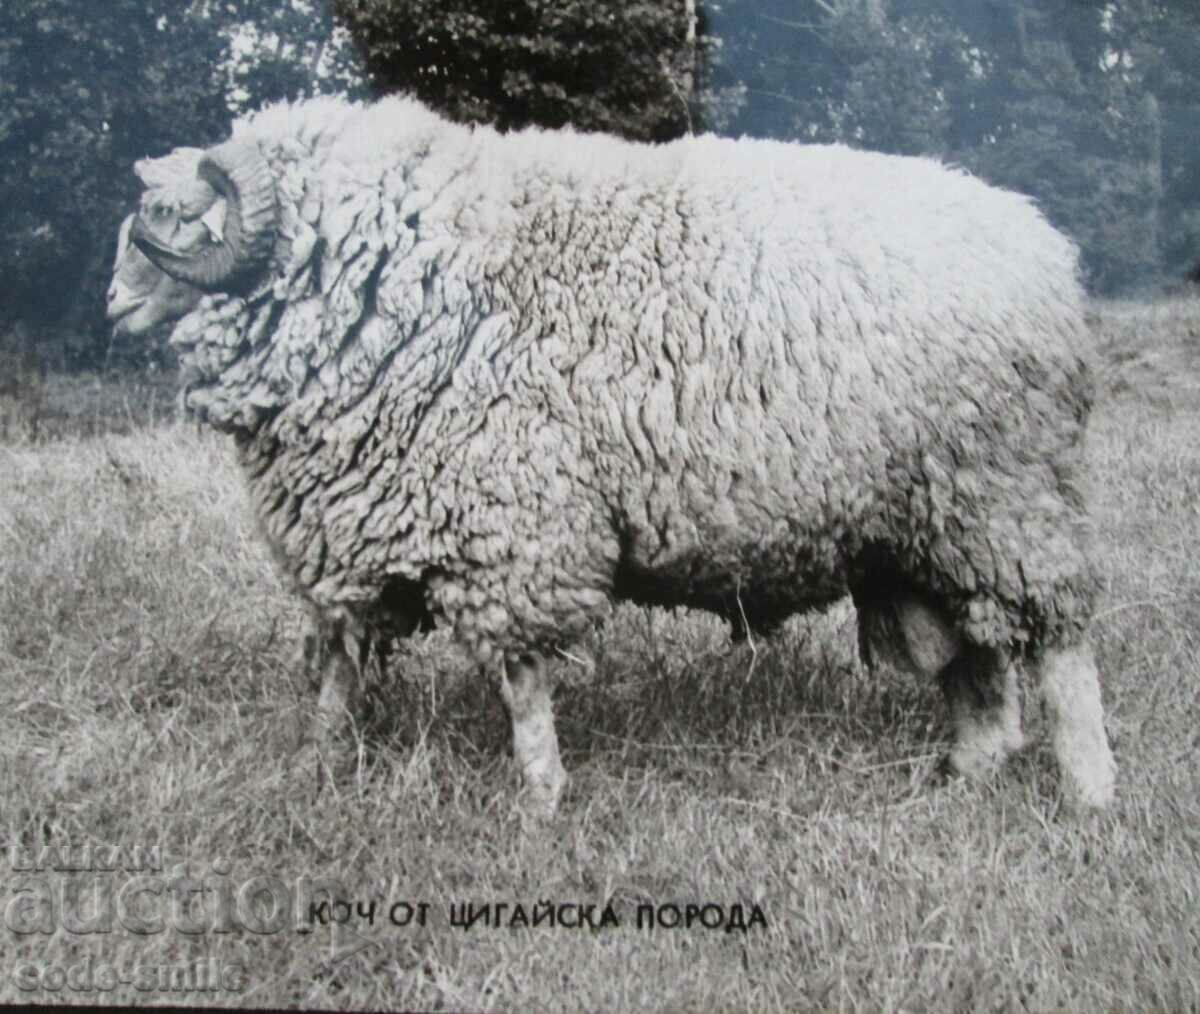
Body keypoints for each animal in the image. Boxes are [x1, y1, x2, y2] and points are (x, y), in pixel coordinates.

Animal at [107, 94, 1116, 814]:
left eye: (171, 213)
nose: (112, 304)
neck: (392, 273)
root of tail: (1043, 247)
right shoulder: (361, 526)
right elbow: (341, 663)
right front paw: (318, 766)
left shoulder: (511, 525)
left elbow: (520, 679)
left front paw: (542, 798)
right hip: (927, 524)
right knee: (982, 659)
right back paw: (968, 776)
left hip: (1006, 497)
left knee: (1060, 646)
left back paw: (1090, 793)